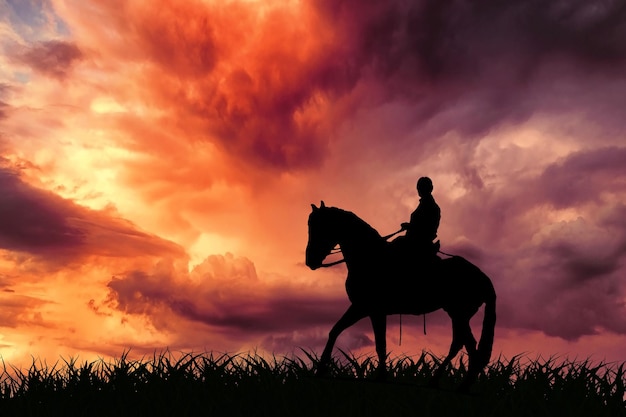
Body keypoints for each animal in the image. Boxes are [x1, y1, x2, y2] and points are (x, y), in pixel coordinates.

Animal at [304, 202, 494, 390]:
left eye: (321, 227)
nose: (310, 261)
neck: (370, 257)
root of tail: (482, 276)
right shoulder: (363, 308)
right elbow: (335, 331)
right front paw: (321, 369)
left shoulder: (370, 309)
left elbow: (380, 343)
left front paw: (380, 376)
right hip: (459, 314)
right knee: (462, 343)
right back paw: (447, 382)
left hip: (459, 313)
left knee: (464, 344)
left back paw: (459, 384)